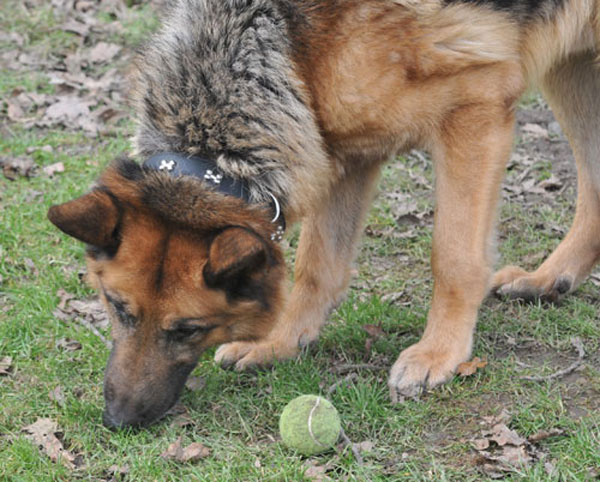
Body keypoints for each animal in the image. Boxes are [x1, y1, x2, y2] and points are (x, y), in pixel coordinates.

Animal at [48, 0, 600, 430]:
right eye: (118, 308)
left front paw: (438, 352)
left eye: (187, 329)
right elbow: (317, 266)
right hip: (573, 69)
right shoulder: (342, 151)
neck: (277, 37)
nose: (117, 421)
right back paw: (550, 278)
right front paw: (281, 341)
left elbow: (453, 256)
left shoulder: (475, 108)